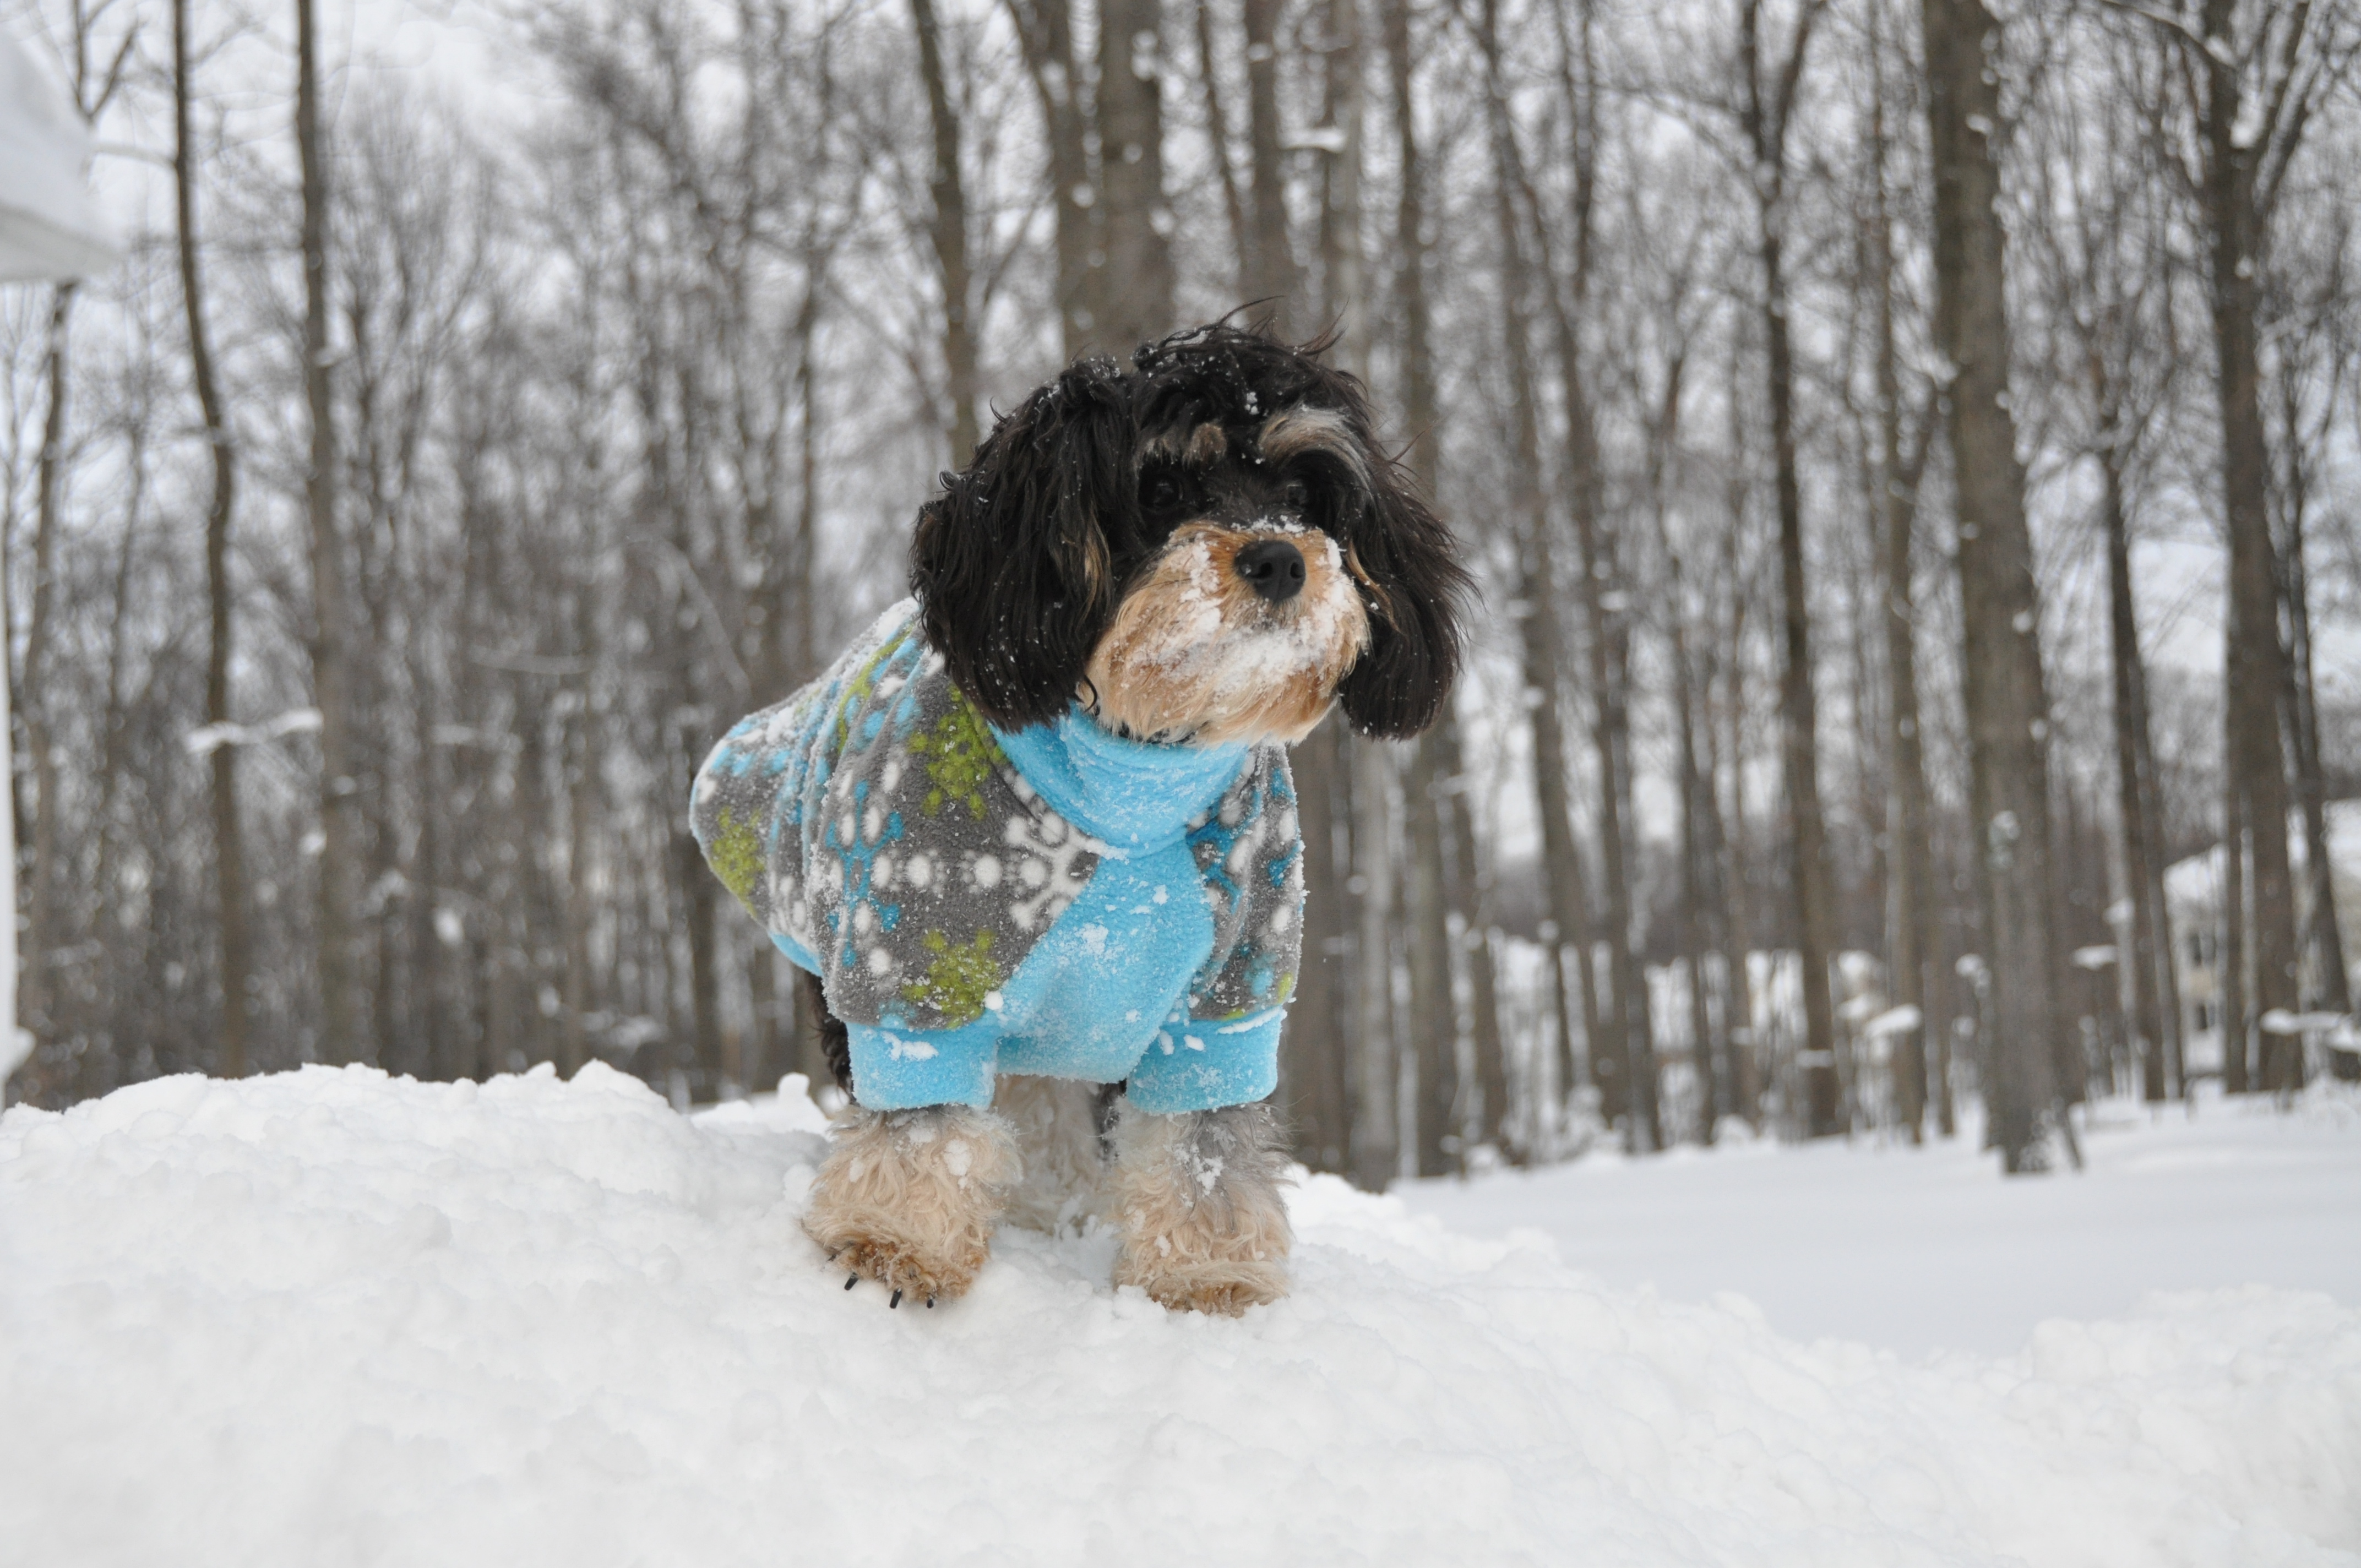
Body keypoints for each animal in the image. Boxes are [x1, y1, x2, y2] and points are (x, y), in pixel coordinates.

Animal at [689, 323, 1454, 1313]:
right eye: (1159, 490)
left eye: (1299, 494)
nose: (1282, 559)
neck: (1128, 786)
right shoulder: (915, 973)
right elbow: (922, 1122)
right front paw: (894, 1239)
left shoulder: (1224, 1002)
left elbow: (1205, 1146)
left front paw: (1207, 1271)